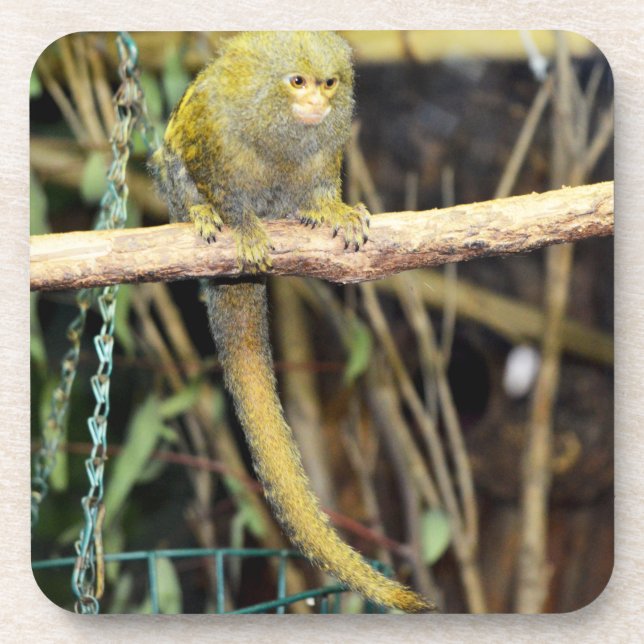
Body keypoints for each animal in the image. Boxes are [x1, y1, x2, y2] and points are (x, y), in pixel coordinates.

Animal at [151, 31, 434, 613]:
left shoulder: (323, 151)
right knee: (175, 170)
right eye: (296, 81)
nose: (316, 103)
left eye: (328, 82)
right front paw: (237, 223)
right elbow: (209, 174)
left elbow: (320, 184)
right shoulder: (213, 130)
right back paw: (201, 215)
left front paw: (334, 211)